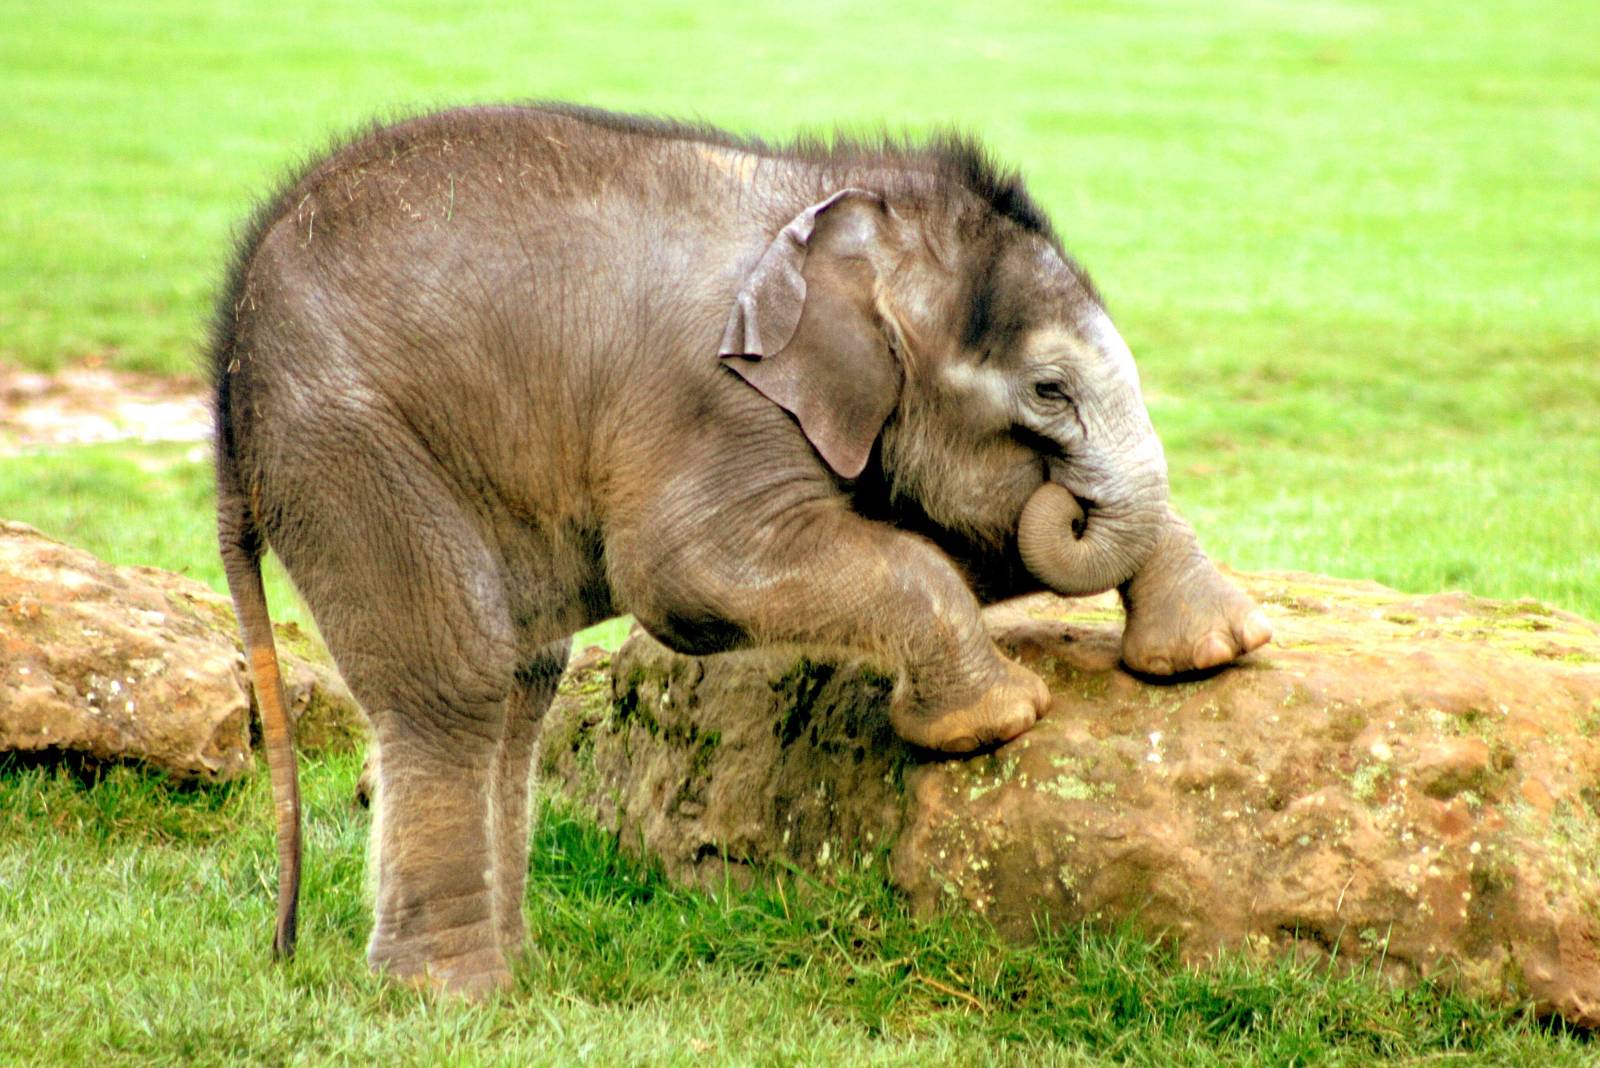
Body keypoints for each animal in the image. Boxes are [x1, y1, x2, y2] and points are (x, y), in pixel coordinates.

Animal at [212, 103, 1270, 997]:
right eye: (1050, 389)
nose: (1075, 495)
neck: (833, 202)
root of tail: (228, 369)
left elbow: (967, 522)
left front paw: (1219, 650)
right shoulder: (717, 399)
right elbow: (688, 574)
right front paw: (995, 723)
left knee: (521, 683)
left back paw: (513, 972)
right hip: (351, 448)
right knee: (455, 680)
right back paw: (455, 995)